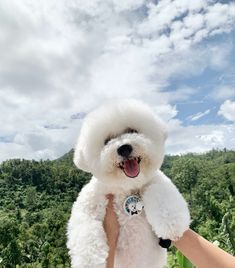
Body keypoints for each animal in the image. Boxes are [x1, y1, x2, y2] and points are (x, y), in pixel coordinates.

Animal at [66, 100, 191, 268]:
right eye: (107, 141)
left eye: (132, 130)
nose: (124, 148)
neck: (126, 187)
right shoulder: (89, 202)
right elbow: (85, 229)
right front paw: (89, 261)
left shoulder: (155, 180)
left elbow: (162, 194)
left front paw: (172, 225)